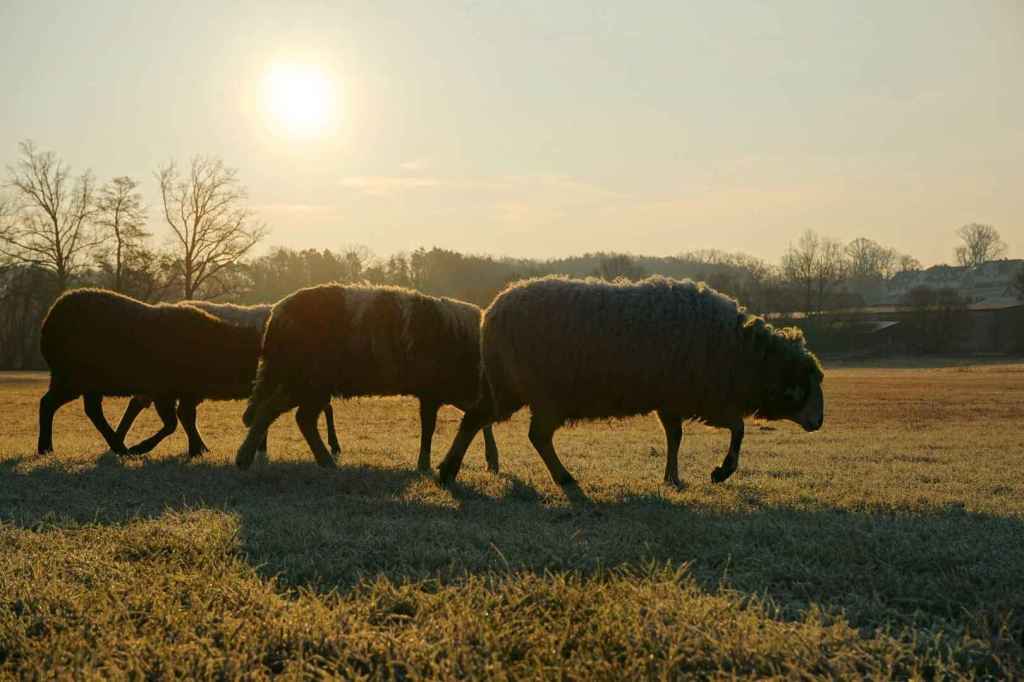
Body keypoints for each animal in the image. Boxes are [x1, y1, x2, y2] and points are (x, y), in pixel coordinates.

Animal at [235, 283, 499, 471]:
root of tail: (275, 316)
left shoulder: (452, 391)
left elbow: (477, 419)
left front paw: (492, 462)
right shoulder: (433, 392)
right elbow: (431, 427)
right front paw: (424, 467)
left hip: (309, 383)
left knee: (294, 416)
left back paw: (322, 462)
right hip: (305, 379)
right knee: (274, 412)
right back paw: (246, 459)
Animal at [436, 276, 824, 488]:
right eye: (805, 384)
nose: (819, 422)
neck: (743, 354)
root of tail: (490, 312)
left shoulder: (672, 398)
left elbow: (675, 437)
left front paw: (671, 477)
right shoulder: (704, 397)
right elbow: (738, 429)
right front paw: (721, 471)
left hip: (511, 387)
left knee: (492, 423)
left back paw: (449, 470)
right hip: (527, 389)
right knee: (515, 429)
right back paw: (561, 477)